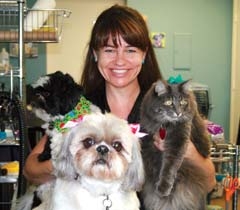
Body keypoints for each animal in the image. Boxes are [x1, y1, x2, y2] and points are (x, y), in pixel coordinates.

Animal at [140, 79, 211, 210]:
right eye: (168, 102)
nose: (178, 113)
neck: (165, 125)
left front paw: (163, 188)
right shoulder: (147, 135)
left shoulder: (178, 140)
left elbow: (169, 166)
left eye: (183, 102)